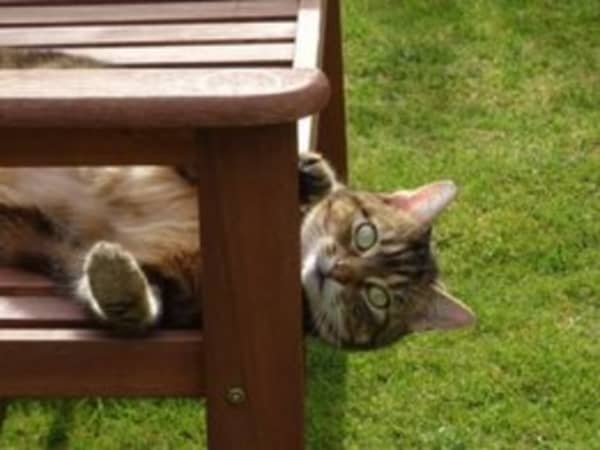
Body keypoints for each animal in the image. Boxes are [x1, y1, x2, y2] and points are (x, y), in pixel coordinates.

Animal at [1, 50, 478, 352]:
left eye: (377, 298)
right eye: (366, 235)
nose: (336, 270)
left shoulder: (182, 292)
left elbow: (131, 306)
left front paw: (116, 279)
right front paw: (313, 175)